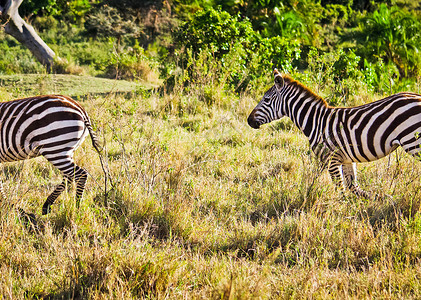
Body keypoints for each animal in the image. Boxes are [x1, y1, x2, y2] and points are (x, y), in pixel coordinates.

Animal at [246, 69, 420, 198]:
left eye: (266, 100)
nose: (249, 120)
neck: (316, 122)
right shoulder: (347, 159)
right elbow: (354, 188)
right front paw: (379, 200)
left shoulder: (332, 159)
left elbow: (341, 191)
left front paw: (340, 215)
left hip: (413, 142)